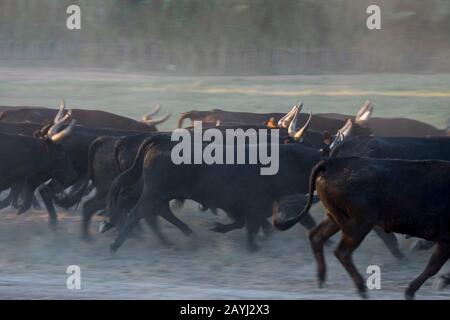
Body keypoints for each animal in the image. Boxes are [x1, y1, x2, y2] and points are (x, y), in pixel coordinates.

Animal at [272, 158, 450, 300]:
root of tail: (333, 163)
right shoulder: (445, 241)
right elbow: (432, 267)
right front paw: (411, 291)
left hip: (334, 218)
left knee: (316, 236)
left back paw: (321, 279)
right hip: (357, 226)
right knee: (342, 252)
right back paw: (362, 289)